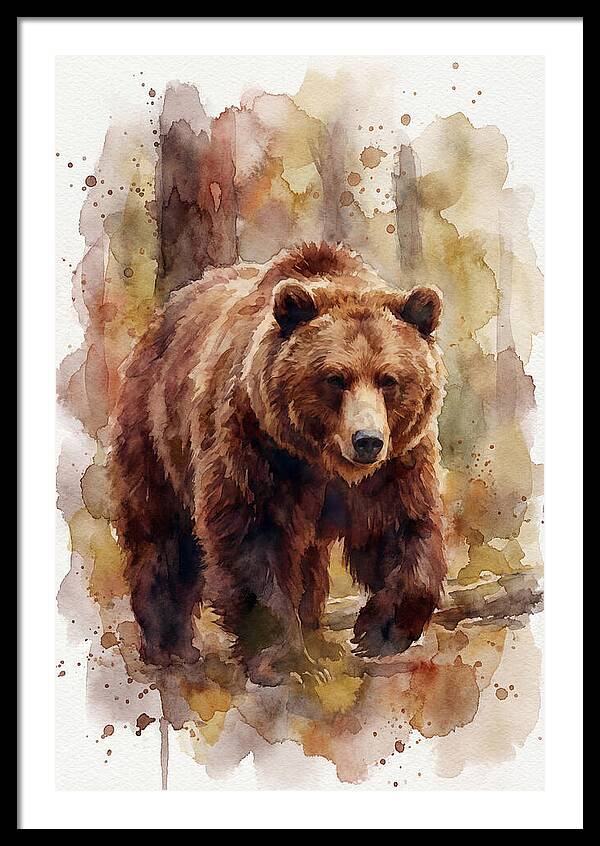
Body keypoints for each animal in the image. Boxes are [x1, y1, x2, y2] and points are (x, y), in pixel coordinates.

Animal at [110, 242, 447, 686]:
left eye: (388, 379)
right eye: (334, 378)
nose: (367, 441)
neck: (322, 461)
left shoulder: (395, 463)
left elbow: (403, 526)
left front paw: (380, 630)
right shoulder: (256, 445)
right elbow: (253, 538)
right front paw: (282, 659)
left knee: (309, 560)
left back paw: (316, 633)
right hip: (156, 429)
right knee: (162, 534)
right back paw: (170, 646)